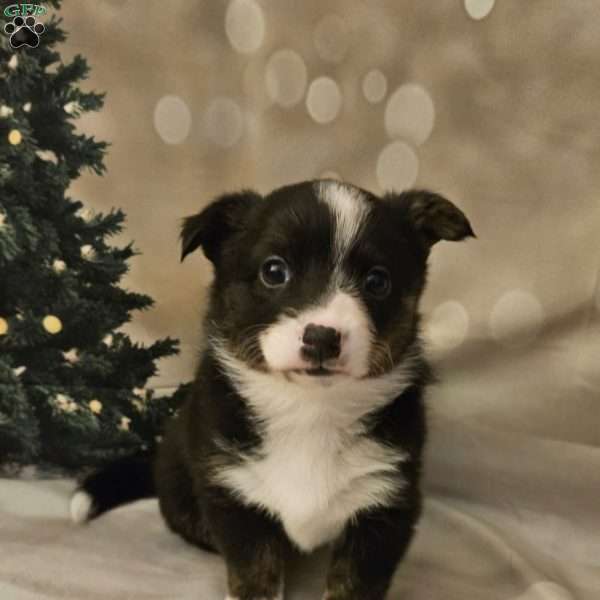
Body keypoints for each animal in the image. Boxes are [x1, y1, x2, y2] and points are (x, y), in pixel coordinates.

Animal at [71, 180, 474, 596]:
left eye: (377, 281)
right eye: (274, 271)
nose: (322, 337)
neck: (311, 408)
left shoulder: (385, 504)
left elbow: (353, 583)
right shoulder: (235, 494)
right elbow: (254, 571)